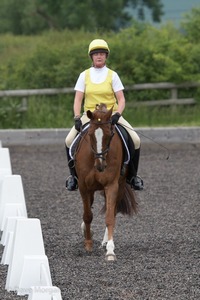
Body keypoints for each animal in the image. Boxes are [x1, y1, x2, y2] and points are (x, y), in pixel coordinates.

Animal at [74, 103, 138, 260]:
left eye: (109, 135)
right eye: (90, 135)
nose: (101, 166)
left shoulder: (112, 185)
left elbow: (109, 217)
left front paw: (110, 251)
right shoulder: (83, 186)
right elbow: (87, 215)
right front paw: (88, 244)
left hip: (120, 185)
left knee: (112, 211)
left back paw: (104, 243)